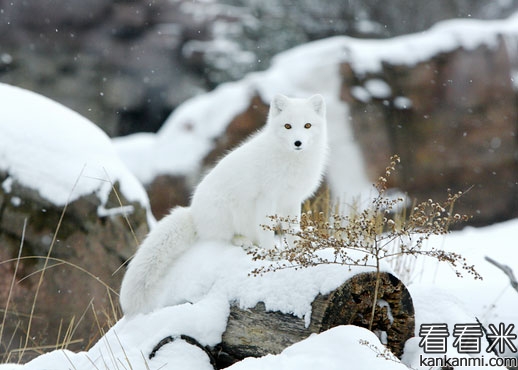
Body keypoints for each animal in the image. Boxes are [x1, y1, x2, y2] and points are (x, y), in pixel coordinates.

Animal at [121, 93, 330, 316]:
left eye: (307, 125)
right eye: (288, 126)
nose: (298, 142)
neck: (292, 162)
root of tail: (193, 214)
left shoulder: (291, 200)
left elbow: (293, 231)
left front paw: (298, 252)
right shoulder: (266, 198)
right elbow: (266, 232)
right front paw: (271, 255)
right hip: (229, 212)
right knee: (226, 238)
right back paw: (243, 241)